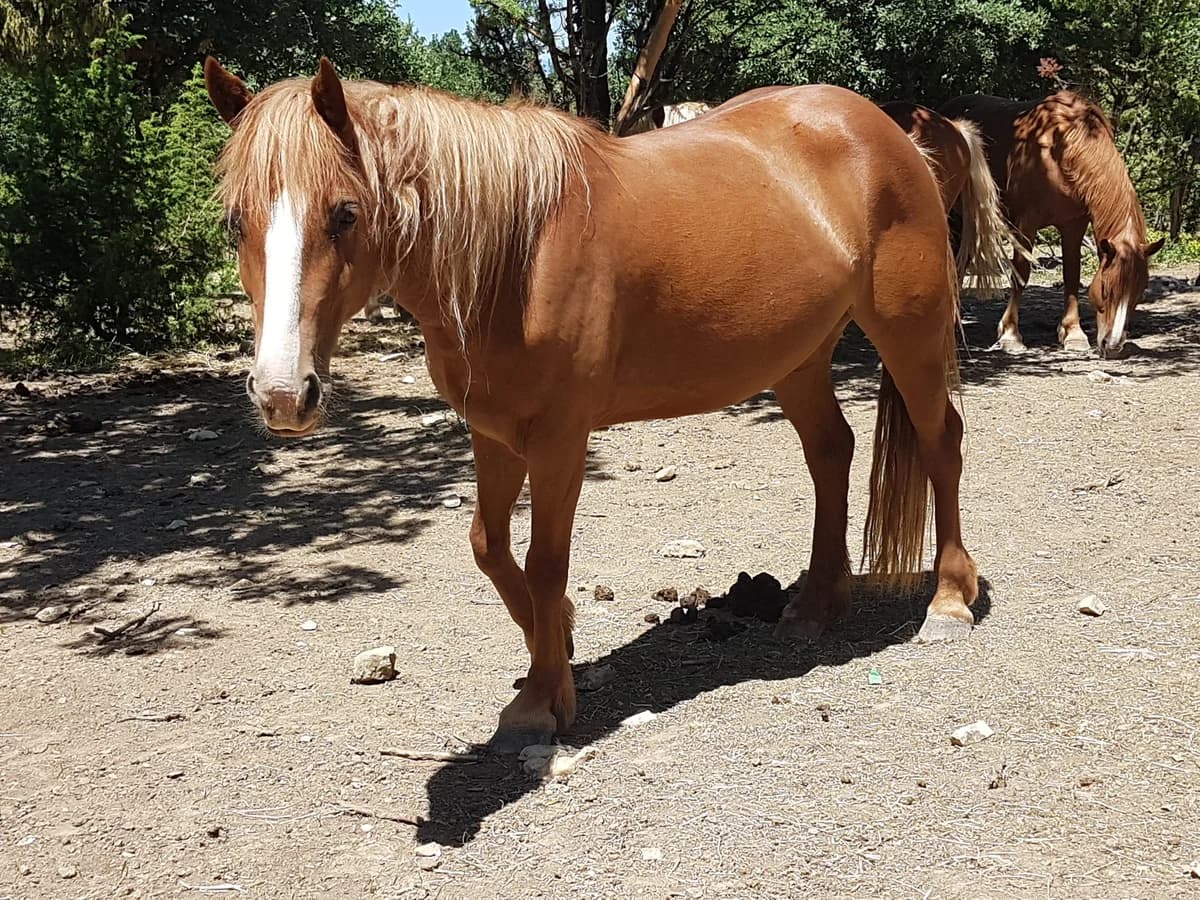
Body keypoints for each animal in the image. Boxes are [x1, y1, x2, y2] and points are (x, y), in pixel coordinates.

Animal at [204, 59, 979, 751]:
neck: (517, 254)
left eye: (344, 213)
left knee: (940, 441)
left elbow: (547, 562)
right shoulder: (492, 433)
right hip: (798, 358)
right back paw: (817, 605)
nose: (283, 393)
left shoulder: (560, 440)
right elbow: (489, 547)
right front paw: (555, 645)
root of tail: (891, 131)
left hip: (907, 331)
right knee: (830, 453)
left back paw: (948, 600)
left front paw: (543, 700)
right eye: (235, 221)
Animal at [939, 91, 1163, 356]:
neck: (1058, 150)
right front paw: (1010, 335)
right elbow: (1021, 274)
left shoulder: (1073, 226)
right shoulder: (1026, 224)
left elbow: (1072, 275)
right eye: (1107, 288)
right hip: (956, 218)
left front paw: (1073, 333)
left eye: (1139, 292)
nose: (1113, 345)